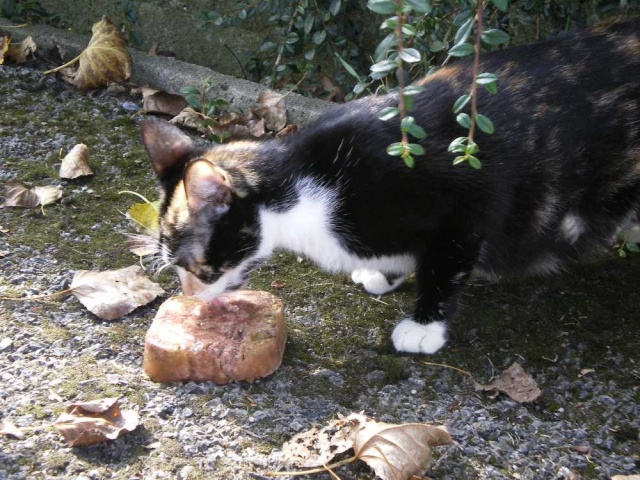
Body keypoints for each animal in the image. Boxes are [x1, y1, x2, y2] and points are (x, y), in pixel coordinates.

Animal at [141, 18, 640, 354]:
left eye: (198, 266)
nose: (188, 299)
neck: (306, 190)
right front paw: (384, 273)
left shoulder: (465, 201)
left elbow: (445, 264)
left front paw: (424, 325)